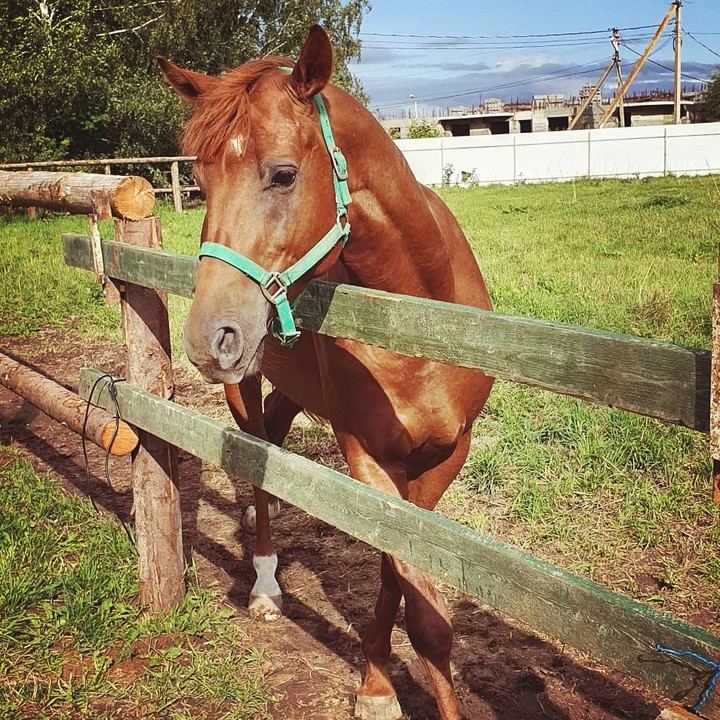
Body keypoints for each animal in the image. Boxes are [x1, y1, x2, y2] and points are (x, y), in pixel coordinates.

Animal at [158, 25, 494, 720]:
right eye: (200, 178)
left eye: (283, 174)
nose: (207, 337)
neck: (420, 317)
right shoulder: (365, 453)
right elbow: (422, 610)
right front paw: (378, 688)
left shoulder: (445, 456)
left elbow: (401, 577)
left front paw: (376, 680)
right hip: (244, 383)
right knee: (258, 457)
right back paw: (264, 580)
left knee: (276, 435)